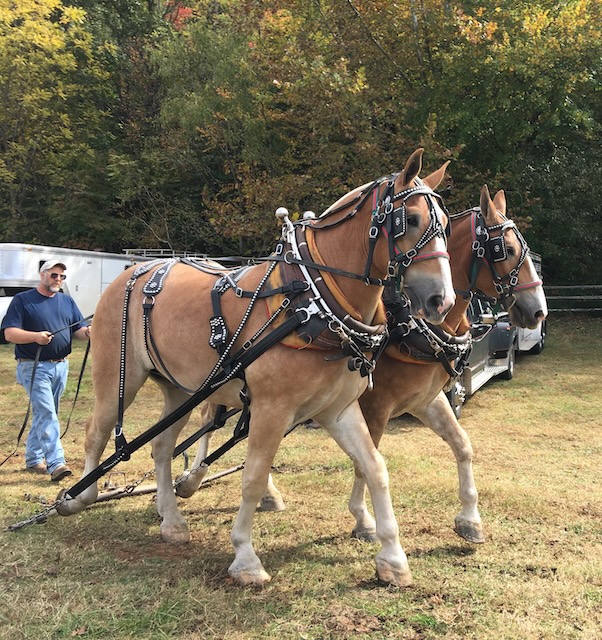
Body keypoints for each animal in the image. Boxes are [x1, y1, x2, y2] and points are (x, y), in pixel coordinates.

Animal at [56, 149, 456, 587]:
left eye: (447, 224)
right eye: (410, 220)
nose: (442, 300)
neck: (313, 300)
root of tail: (129, 273)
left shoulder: (337, 410)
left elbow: (374, 468)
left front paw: (393, 559)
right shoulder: (270, 408)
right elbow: (253, 476)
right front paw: (246, 558)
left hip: (180, 388)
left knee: (161, 446)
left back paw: (172, 521)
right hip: (119, 376)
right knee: (97, 430)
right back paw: (79, 497)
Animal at [177, 184, 548, 550]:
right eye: (506, 249)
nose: (539, 311)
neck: (410, 325)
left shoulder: (427, 400)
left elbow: (462, 445)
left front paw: (470, 520)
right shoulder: (376, 405)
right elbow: (364, 462)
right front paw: (364, 519)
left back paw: (262, 492)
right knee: (208, 417)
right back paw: (191, 479)